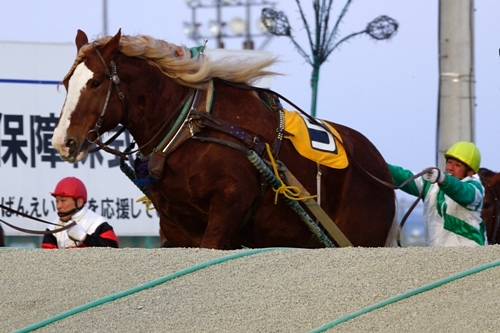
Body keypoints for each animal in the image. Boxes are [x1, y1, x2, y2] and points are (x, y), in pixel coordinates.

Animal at [49, 29, 394, 248]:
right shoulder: (176, 226)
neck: (189, 130)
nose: (63, 141)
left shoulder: (227, 208)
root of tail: (378, 165)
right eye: (67, 83)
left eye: (95, 82)